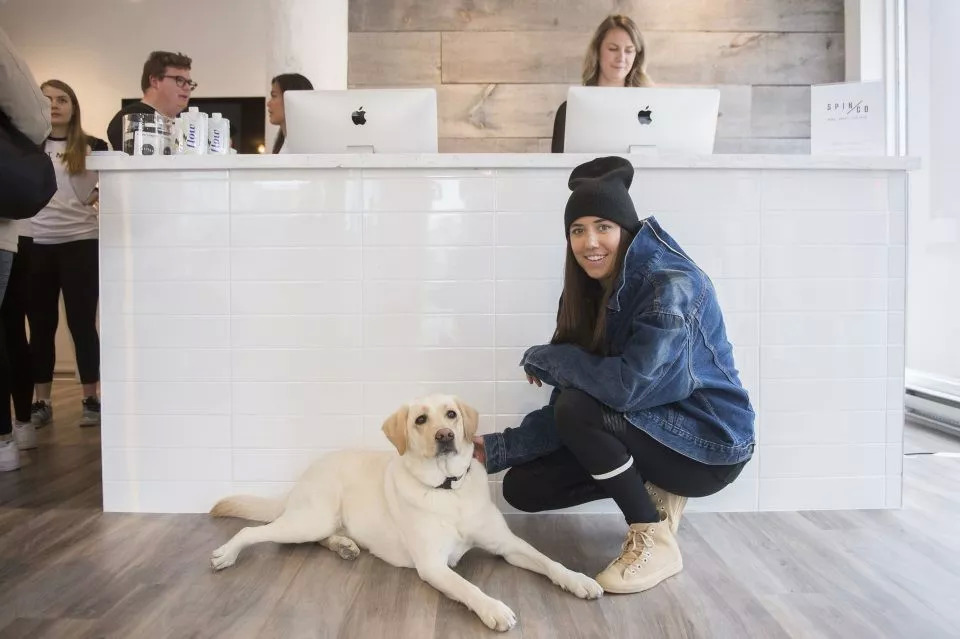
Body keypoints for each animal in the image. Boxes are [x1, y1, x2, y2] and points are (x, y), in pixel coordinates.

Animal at [209, 394, 602, 631]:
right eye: (420, 420)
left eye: (451, 415)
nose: (445, 435)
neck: (448, 490)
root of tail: (305, 474)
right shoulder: (433, 565)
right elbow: (469, 587)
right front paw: (494, 608)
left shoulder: (508, 545)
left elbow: (550, 561)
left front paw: (579, 580)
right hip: (309, 519)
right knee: (255, 531)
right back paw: (226, 554)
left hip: (317, 522)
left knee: (320, 538)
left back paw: (344, 546)